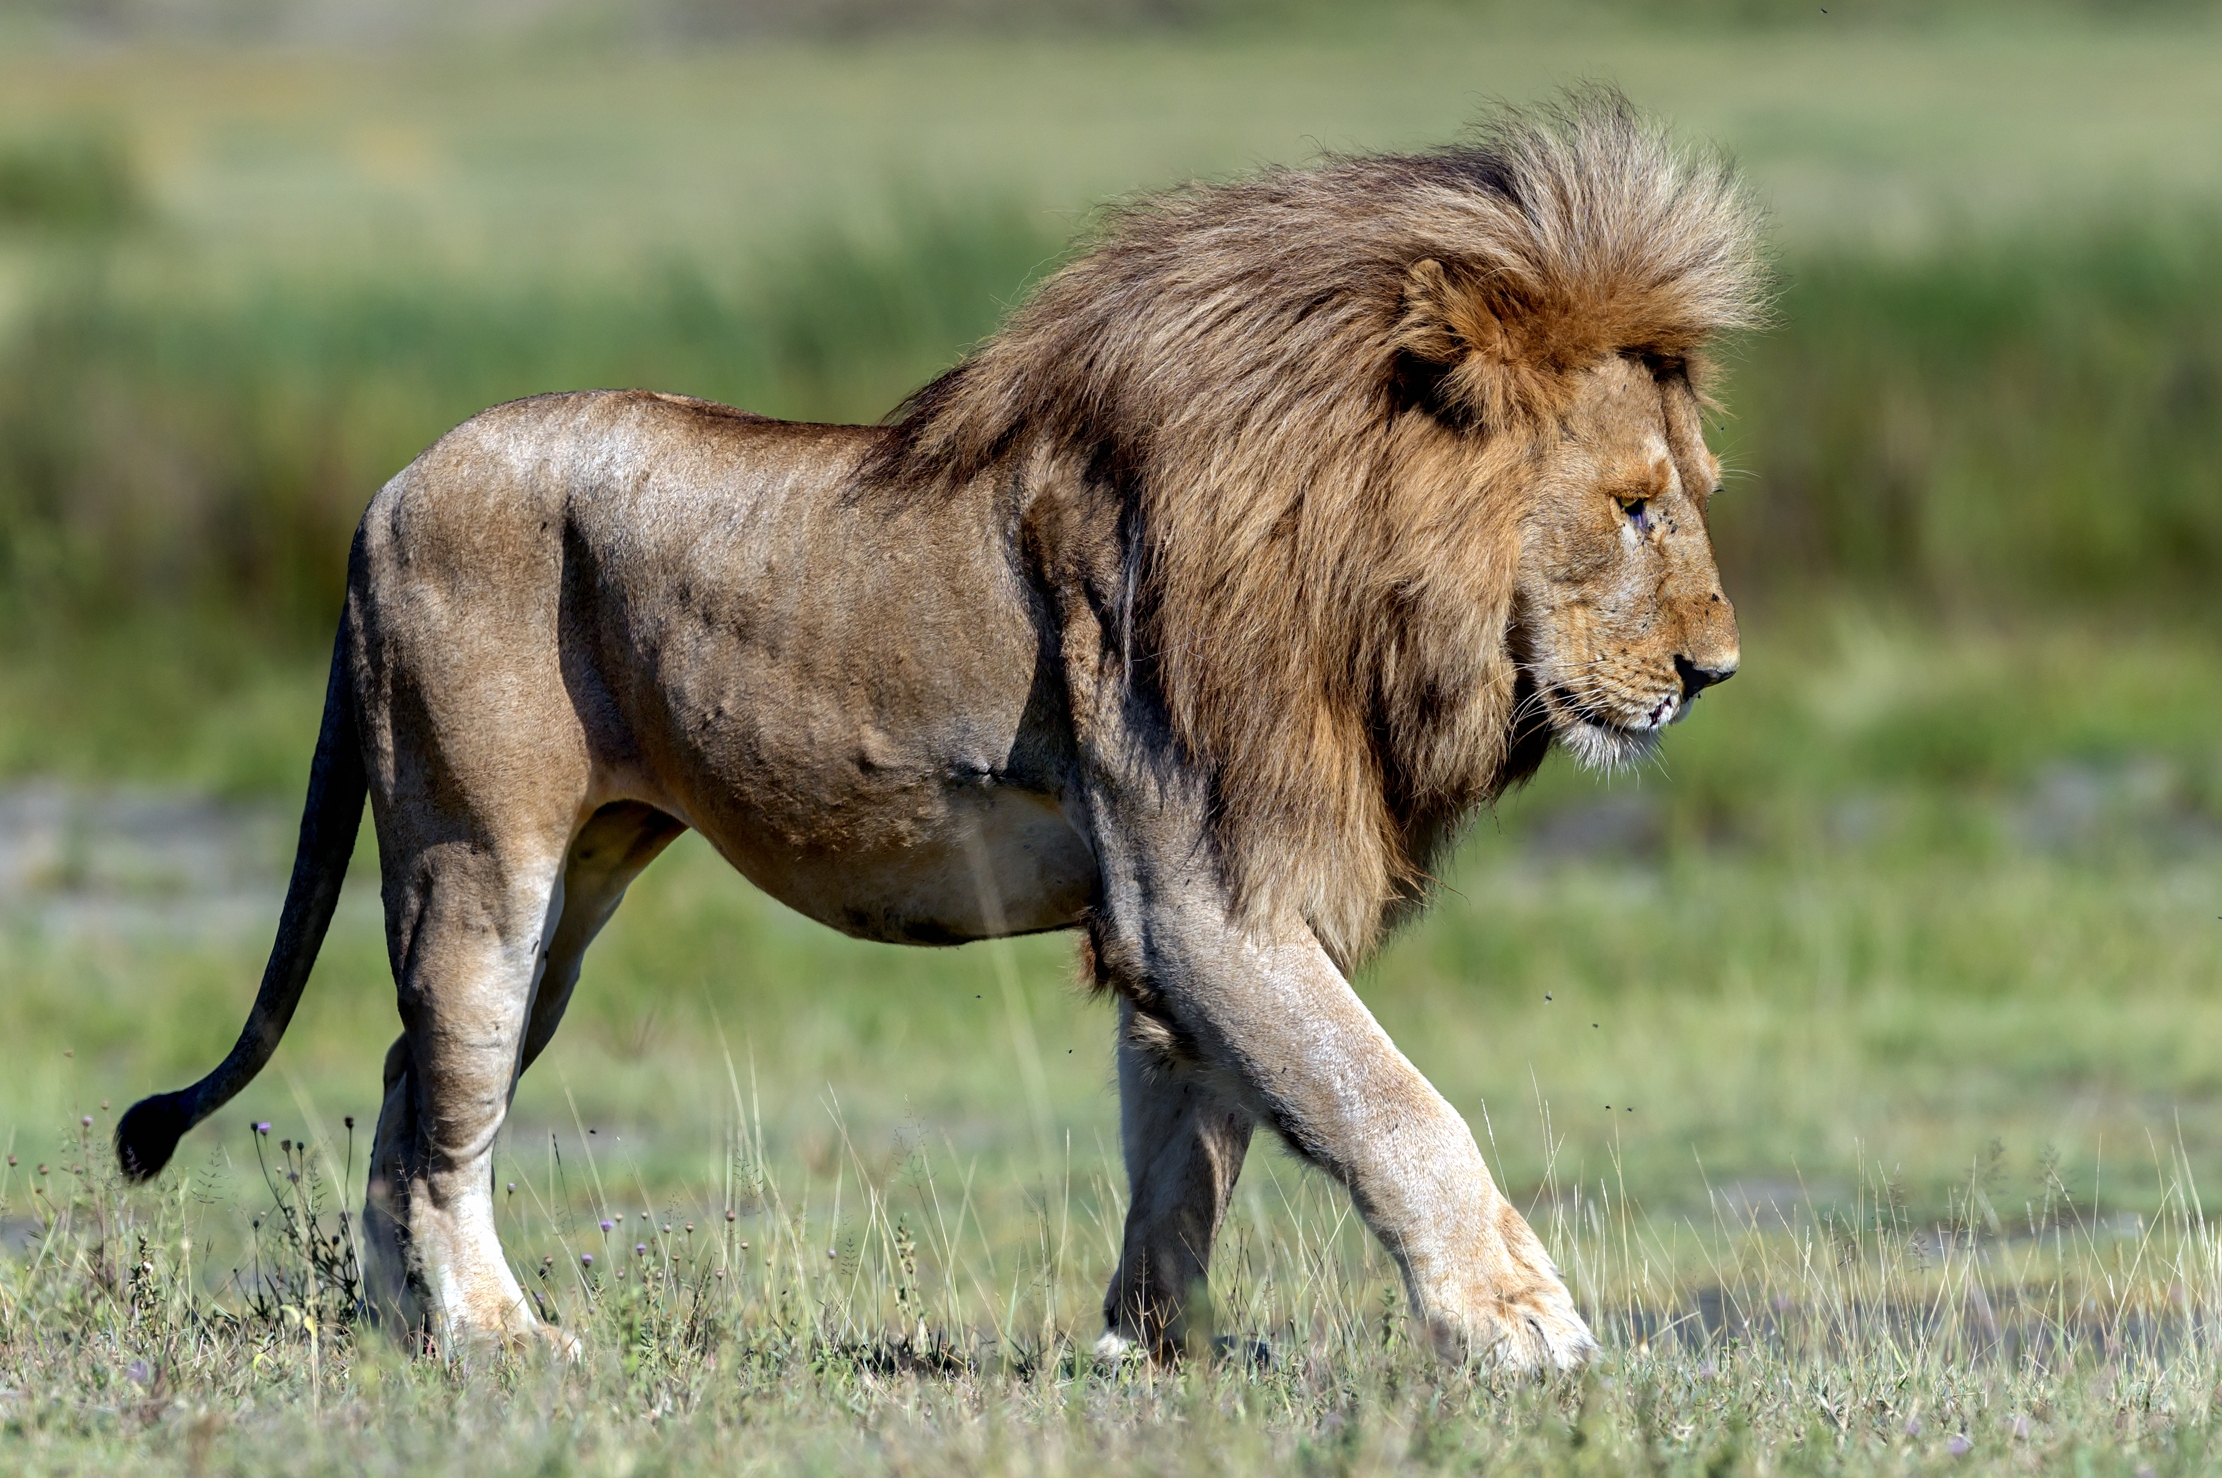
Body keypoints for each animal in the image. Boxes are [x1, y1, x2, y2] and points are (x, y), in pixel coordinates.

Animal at [116, 90, 1765, 1371]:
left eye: (1689, 491)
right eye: (1632, 505)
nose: (1716, 669)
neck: (1350, 558)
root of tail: (387, 487)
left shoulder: (1182, 908)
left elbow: (1188, 1143)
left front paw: (1148, 1348)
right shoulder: (1205, 892)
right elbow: (1385, 1104)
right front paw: (1520, 1323)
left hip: (571, 893)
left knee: (409, 1085)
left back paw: (414, 1331)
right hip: (478, 858)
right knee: (442, 1106)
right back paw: (495, 1333)